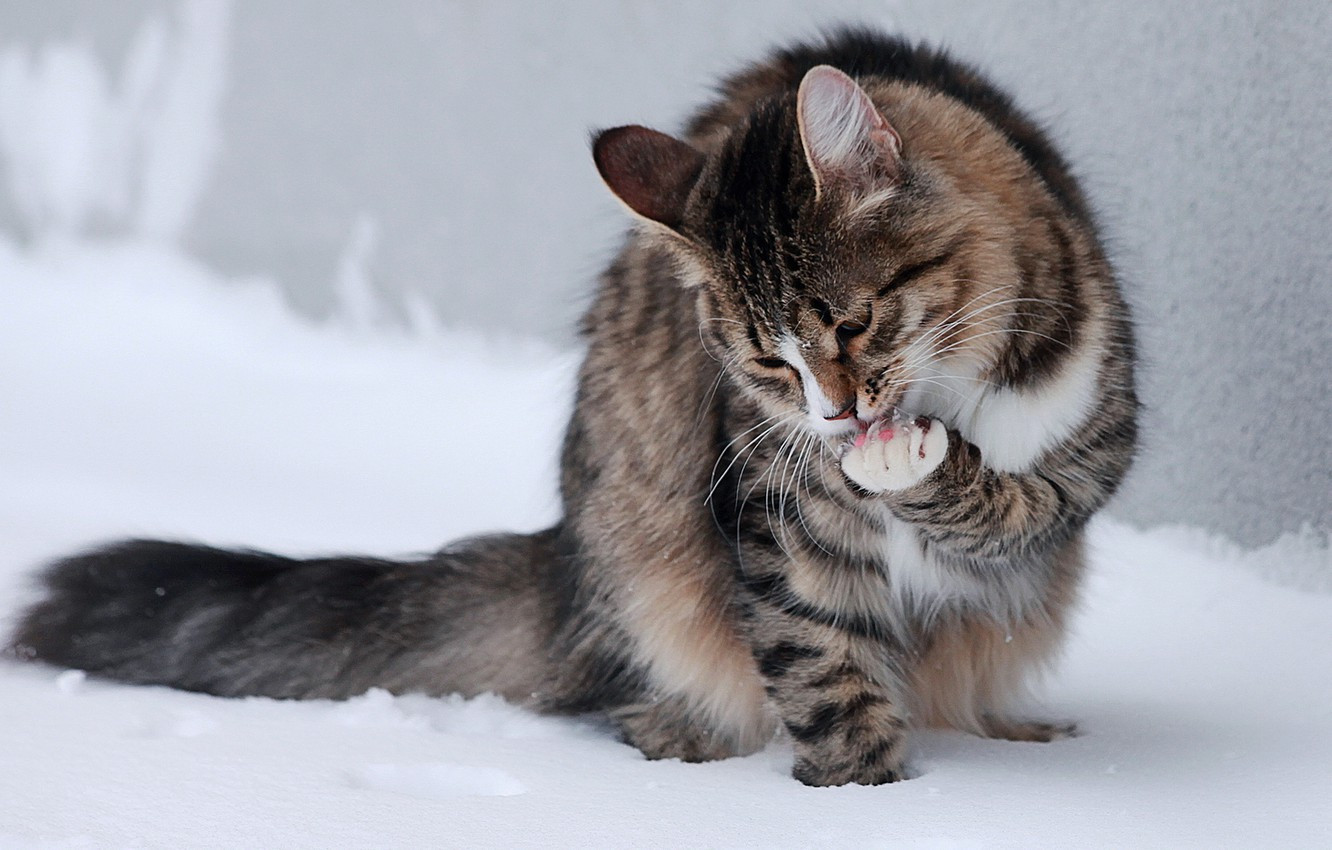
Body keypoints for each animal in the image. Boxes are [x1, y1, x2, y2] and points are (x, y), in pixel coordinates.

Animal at [7, 29, 1134, 788]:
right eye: (767, 365)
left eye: (851, 326)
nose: (837, 419)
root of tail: (566, 562)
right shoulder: (778, 516)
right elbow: (823, 671)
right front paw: (864, 796)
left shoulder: (1095, 441)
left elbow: (1009, 501)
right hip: (646, 563)